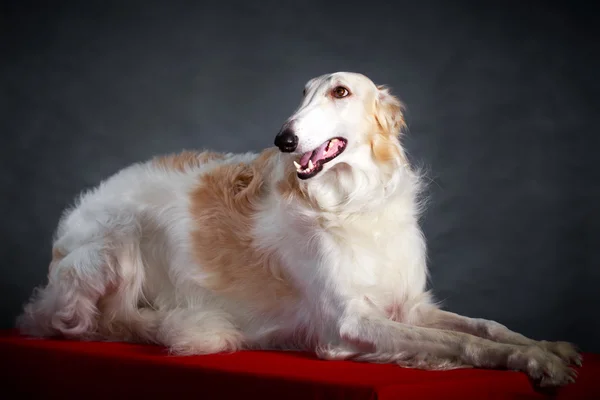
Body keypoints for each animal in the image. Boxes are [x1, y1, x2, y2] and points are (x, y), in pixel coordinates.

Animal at [17, 72, 580, 388]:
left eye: (340, 91)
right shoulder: (345, 324)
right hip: (114, 245)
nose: (283, 138)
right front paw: (531, 361)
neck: (352, 205)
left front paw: (546, 348)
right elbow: (458, 343)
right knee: (96, 322)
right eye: (303, 95)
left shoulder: (408, 305)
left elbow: (487, 327)